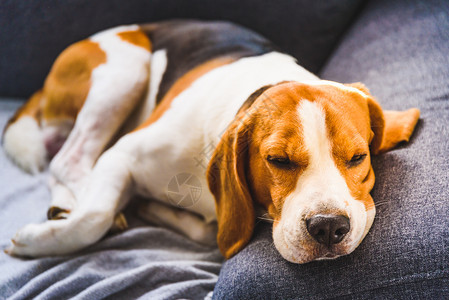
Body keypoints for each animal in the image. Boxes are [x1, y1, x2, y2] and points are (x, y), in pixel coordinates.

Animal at [1, 19, 418, 262]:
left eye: (358, 157)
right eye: (278, 160)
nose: (329, 227)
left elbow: (208, 231)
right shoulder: (121, 156)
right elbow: (94, 217)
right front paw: (37, 241)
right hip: (126, 68)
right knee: (69, 159)